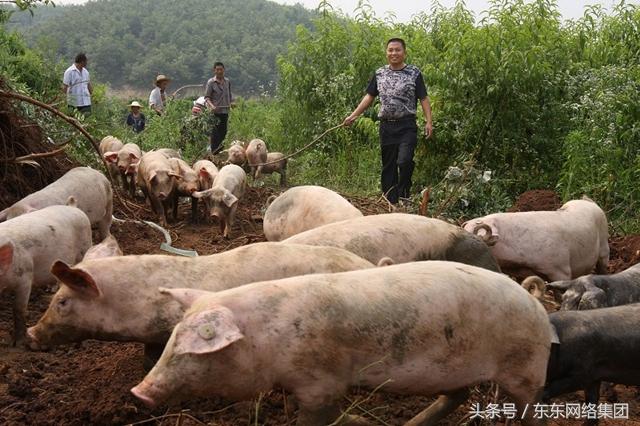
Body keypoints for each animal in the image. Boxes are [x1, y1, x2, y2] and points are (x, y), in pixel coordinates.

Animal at [131, 262, 552, 424]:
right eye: (171, 340)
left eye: (191, 349)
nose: (138, 392)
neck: (266, 336)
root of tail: (537, 305)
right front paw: (363, 421)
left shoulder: (320, 380)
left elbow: (318, 417)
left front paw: (359, 420)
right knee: (457, 396)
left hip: (526, 369)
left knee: (530, 410)